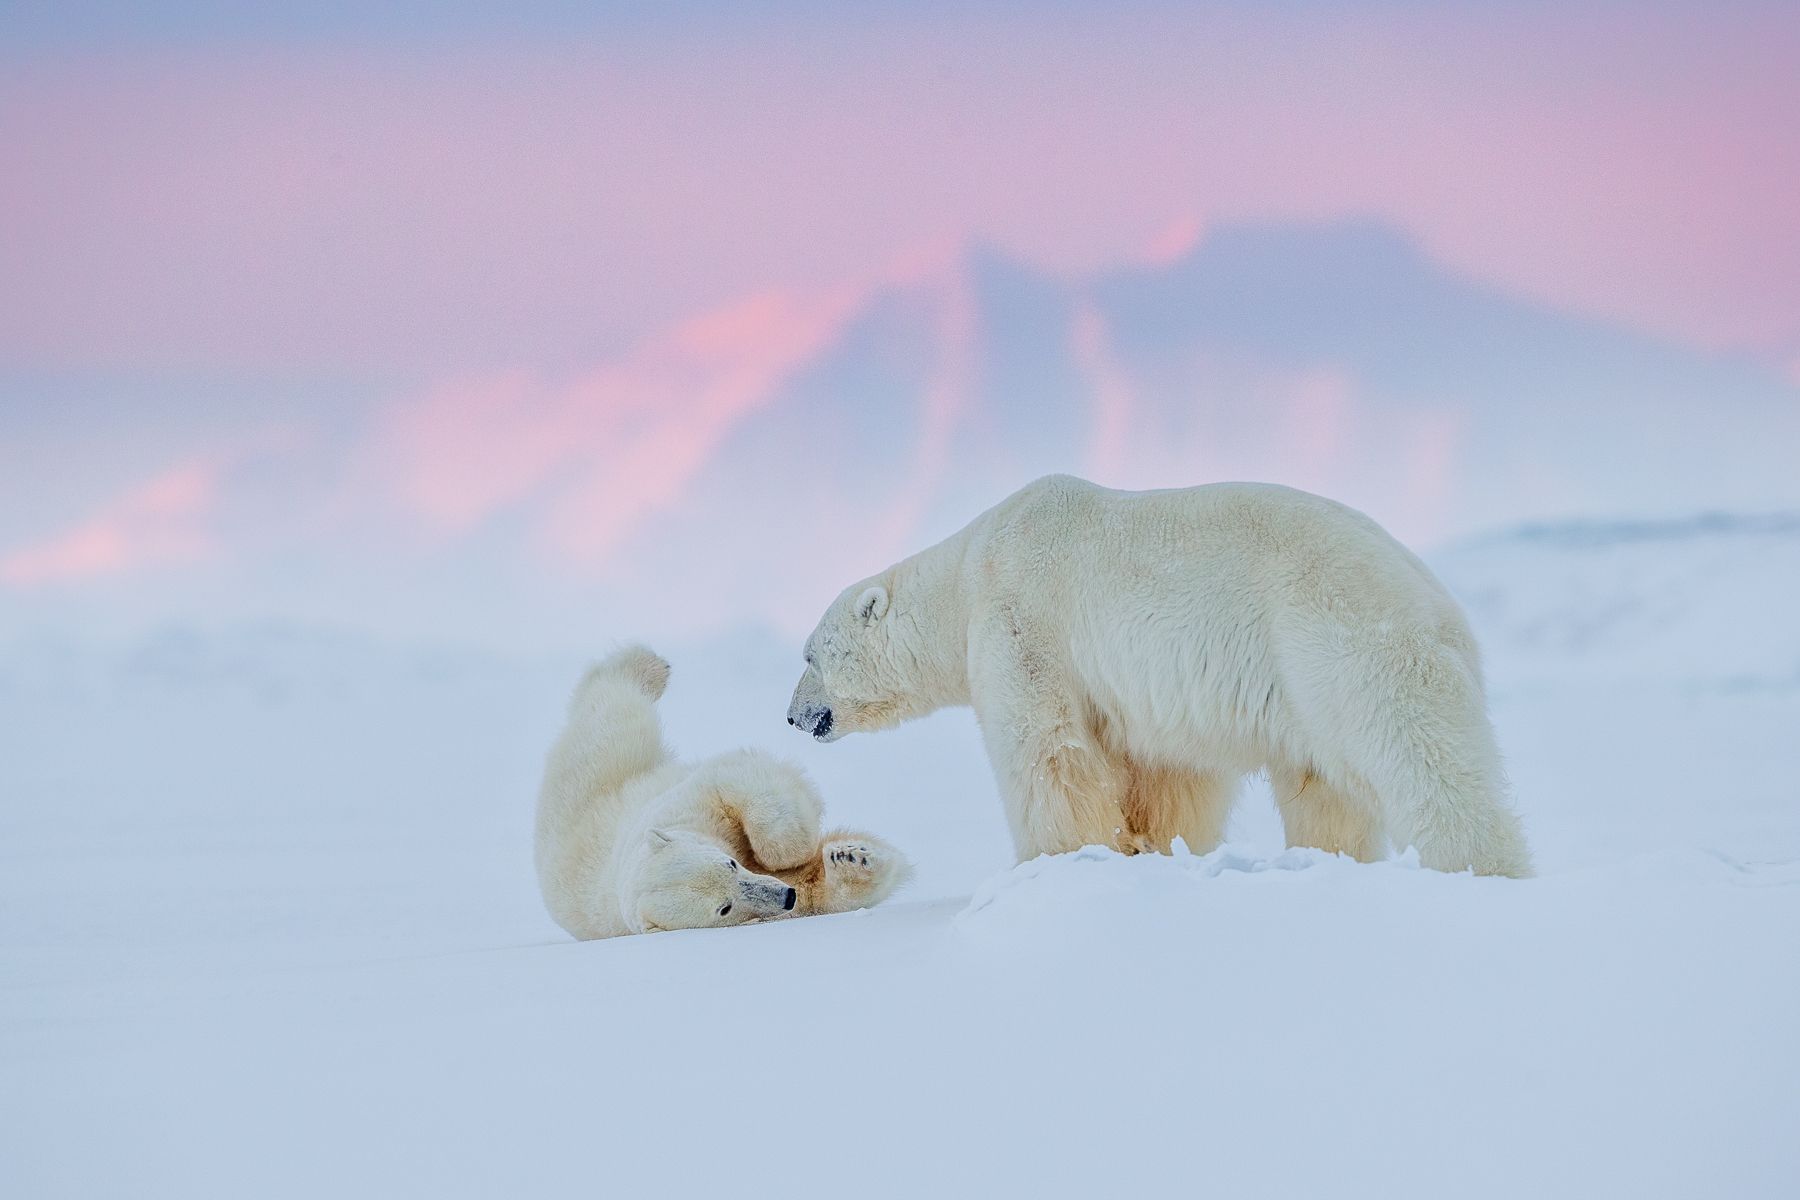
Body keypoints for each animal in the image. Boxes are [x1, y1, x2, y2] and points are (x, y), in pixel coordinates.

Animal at [525, 647, 907, 935]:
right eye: (724, 908)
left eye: (730, 864)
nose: (785, 897)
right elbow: (812, 888)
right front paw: (850, 858)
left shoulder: (691, 806)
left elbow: (741, 784)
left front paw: (824, 851)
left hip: (607, 761)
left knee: (614, 706)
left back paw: (651, 665)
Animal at [788, 474, 1533, 877]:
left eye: (808, 655)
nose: (793, 716)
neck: (967, 570)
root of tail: (1445, 610)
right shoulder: (1154, 695)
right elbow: (1168, 774)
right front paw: (1150, 848)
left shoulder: (1023, 619)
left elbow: (1046, 752)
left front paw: (1058, 859)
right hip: (1311, 683)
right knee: (1324, 787)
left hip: (1344, 644)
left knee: (1422, 763)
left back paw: (1479, 866)